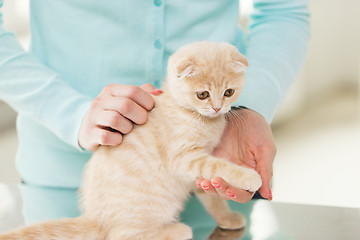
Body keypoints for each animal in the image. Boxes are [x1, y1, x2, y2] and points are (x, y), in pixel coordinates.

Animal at [0, 42, 262, 240]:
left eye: (229, 92)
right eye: (202, 94)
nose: (218, 108)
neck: (193, 116)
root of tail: (96, 220)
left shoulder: (198, 167)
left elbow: (211, 197)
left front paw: (226, 217)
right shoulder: (185, 158)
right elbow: (219, 166)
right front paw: (249, 177)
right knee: (122, 236)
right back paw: (176, 230)